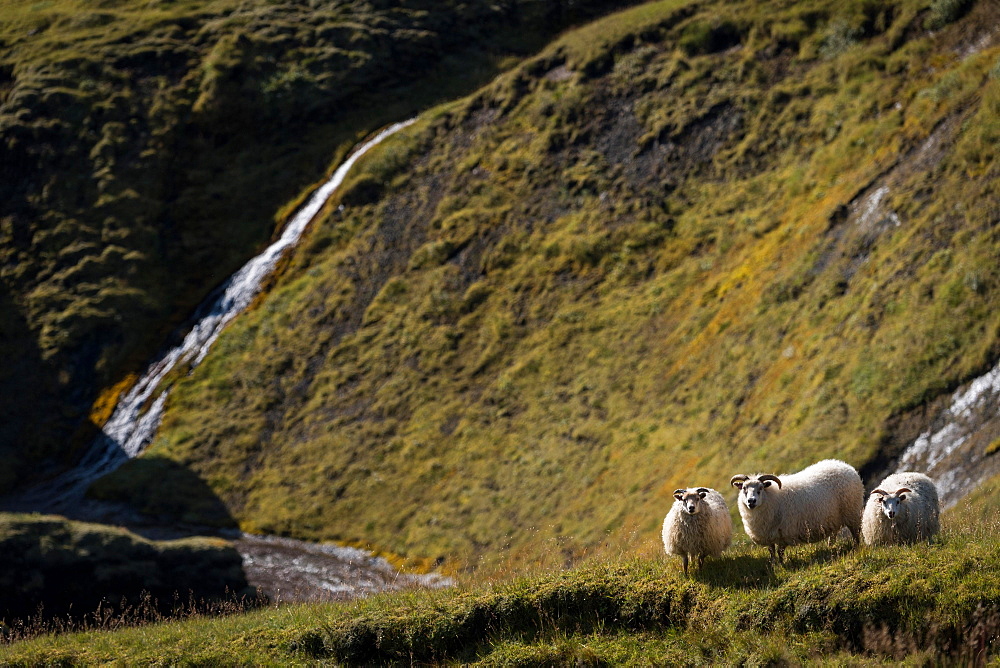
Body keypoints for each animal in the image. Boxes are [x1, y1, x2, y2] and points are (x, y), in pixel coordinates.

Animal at [728, 460, 868, 564]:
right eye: (744, 488)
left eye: (760, 488)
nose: (751, 501)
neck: (770, 498)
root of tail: (847, 467)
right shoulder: (768, 535)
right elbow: (771, 551)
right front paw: (773, 564)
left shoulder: (783, 532)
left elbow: (780, 551)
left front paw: (781, 564)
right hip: (834, 517)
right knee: (834, 533)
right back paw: (830, 546)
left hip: (852, 512)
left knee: (856, 533)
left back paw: (856, 548)